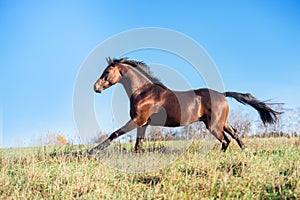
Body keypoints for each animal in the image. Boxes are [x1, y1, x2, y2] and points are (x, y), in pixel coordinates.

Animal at [87, 57, 282, 155]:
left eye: (106, 72)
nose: (96, 87)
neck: (143, 92)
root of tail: (223, 94)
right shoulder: (143, 123)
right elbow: (138, 144)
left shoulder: (137, 120)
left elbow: (115, 134)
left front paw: (92, 151)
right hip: (220, 122)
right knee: (234, 134)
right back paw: (245, 150)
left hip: (213, 125)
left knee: (226, 140)